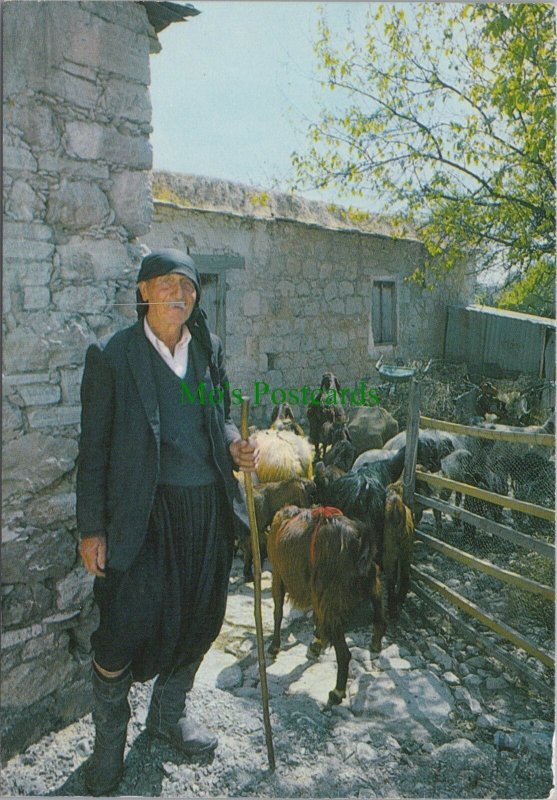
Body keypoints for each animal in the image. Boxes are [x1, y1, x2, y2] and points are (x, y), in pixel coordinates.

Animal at [268, 506, 384, 708]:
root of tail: (360, 544)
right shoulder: (316, 591)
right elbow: (316, 617)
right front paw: (317, 643)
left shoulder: (278, 573)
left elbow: (278, 611)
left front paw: (274, 646)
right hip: (372, 584)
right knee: (381, 619)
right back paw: (375, 644)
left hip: (333, 601)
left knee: (344, 654)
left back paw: (337, 693)